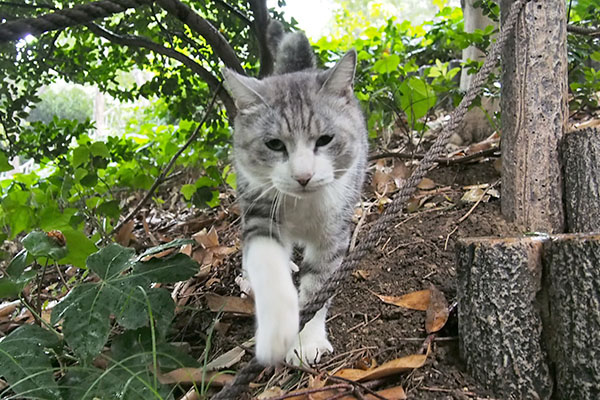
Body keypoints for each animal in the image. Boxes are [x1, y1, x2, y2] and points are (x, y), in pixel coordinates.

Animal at [223, 21, 368, 366]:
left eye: (325, 139)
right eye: (275, 144)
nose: (303, 176)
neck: (303, 206)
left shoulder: (334, 231)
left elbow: (318, 284)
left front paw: (307, 340)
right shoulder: (260, 209)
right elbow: (266, 262)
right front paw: (277, 333)